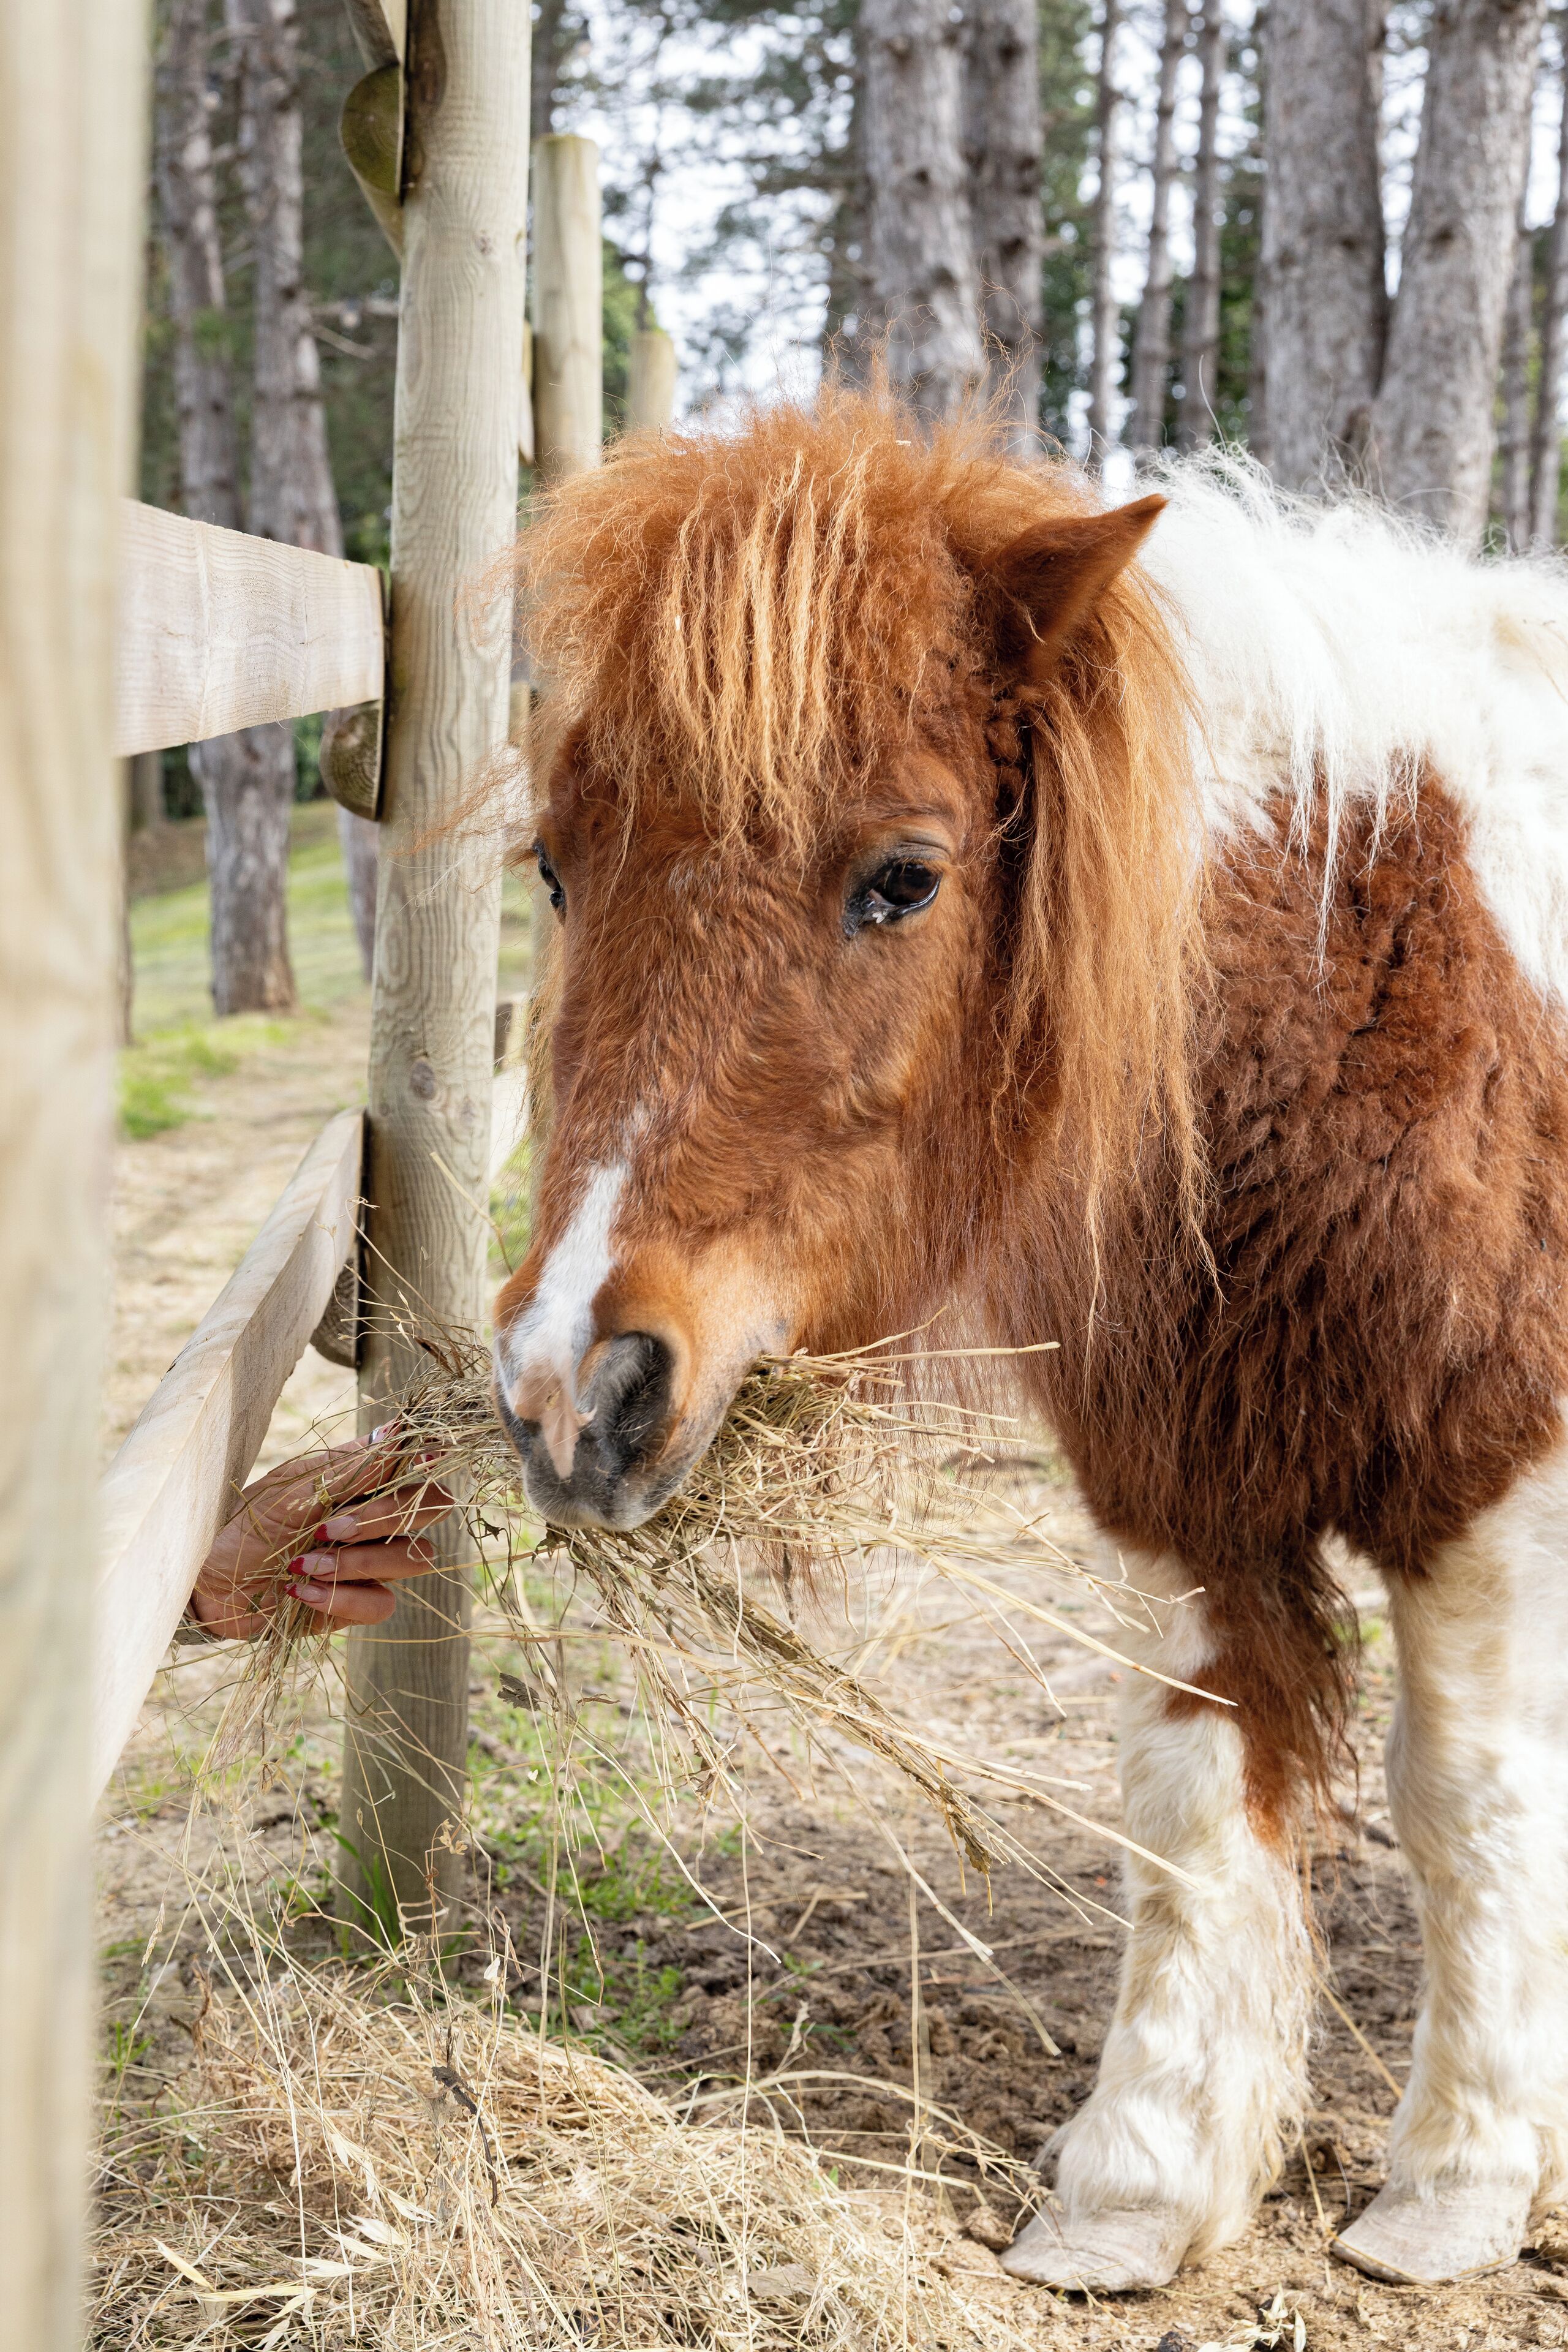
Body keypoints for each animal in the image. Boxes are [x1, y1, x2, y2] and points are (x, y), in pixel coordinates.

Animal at [492, 390, 1568, 2293]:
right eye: (555, 864)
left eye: (902, 879)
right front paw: (1135, 2186)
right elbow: (1196, 1791)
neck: (1371, 966)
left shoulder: (1492, 1478)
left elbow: (1470, 1794)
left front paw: (1459, 2179)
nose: (577, 1391)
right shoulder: (1181, 1491)